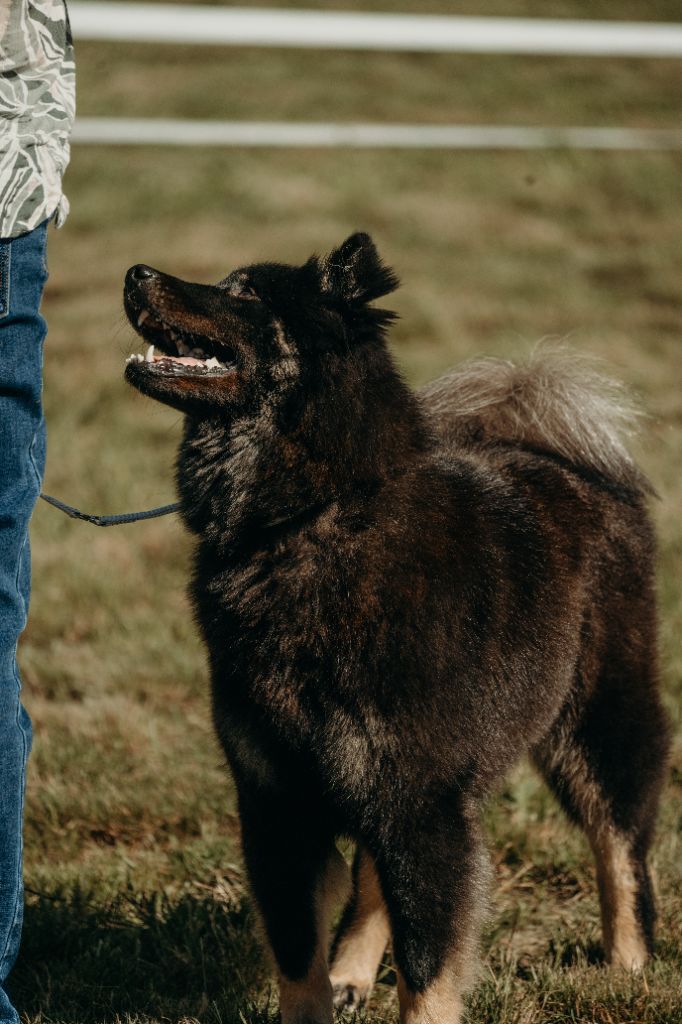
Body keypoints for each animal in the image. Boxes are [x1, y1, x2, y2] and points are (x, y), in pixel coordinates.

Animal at [120, 234, 663, 1024]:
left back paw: (627, 969)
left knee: (621, 848)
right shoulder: (281, 803)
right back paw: (352, 970)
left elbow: (428, 967)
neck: (308, 516)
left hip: (596, 726)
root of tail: (556, 456)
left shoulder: (420, 801)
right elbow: (300, 962)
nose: (135, 274)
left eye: (244, 294)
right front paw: (330, 982)